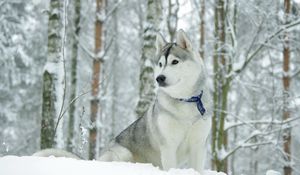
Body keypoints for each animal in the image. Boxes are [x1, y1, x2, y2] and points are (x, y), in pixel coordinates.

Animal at [34, 29, 212, 173]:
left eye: (175, 62)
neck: (185, 101)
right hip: (123, 153)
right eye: (161, 64)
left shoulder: (198, 145)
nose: (159, 78)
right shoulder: (168, 146)